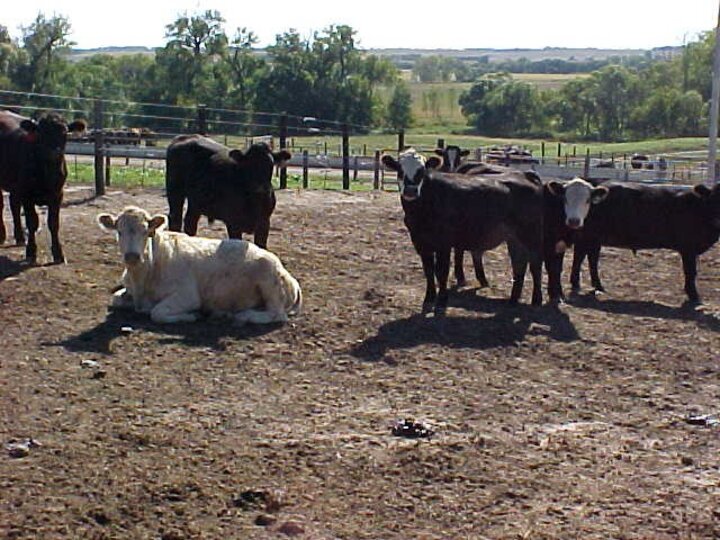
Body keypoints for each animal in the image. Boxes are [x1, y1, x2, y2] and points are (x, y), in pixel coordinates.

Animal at [0, 109, 85, 262]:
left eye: (64, 133)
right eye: (41, 133)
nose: (54, 152)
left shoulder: (57, 194)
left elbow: (53, 223)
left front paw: (58, 253)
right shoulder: (27, 194)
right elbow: (32, 222)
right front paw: (31, 252)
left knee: (14, 205)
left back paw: (20, 237)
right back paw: (3, 235)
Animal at [97, 206, 300, 324]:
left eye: (146, 232)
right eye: (119, 231)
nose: (132, 256)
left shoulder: (188, 295)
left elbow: (157, 312)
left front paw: (192, 315)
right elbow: (115, 299)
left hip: (269, 280)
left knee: (277, 314)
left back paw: (244, 315)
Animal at [382, 150, 540, 314]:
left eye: (422, 170)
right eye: (400, 169)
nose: (410, 190)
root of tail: (527, 177)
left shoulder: (443, 243)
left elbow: (441, 271)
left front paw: (441, 301)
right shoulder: (420, 242)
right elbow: (428, 270)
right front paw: (428, 299)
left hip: (531, 235)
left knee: (535, 265)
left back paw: (536, 300)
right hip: (514, 238)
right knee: (519, 264)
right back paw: (513, 300)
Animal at [568, 182, 720, 304]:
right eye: (714, 199)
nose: (717, 220)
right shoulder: (688, 248)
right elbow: (690, 272)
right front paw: (694, 296)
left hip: (594, 238)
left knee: (591, 258)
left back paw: (597, 286)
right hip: (588, 236)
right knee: (580, 256)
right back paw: (577, 284)